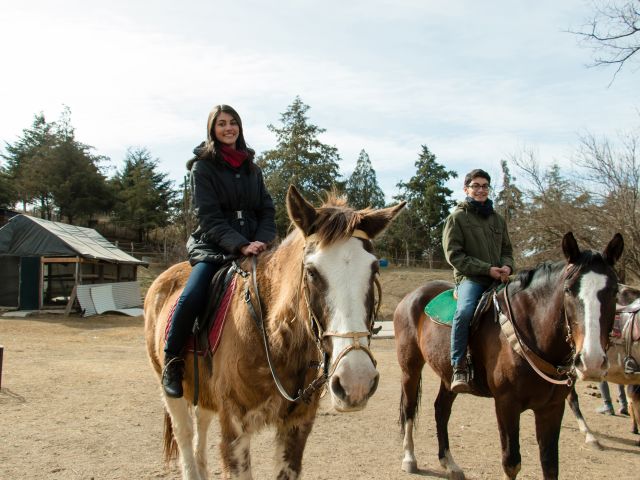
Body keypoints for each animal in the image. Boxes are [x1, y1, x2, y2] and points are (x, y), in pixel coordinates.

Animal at [145, 187, 404, 480]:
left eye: (374, 269)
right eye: (312, 272)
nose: (355, 381)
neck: (273, 340)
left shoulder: (297, 426)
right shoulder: (234, 430)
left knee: (201, 424)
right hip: (169, 388)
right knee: (185, 434)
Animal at [396, 232, 624, 480]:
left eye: (614, 291)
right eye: (568, 290)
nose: (592, 361)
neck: (530, 330)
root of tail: (413, 296)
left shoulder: (552, 408)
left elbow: (550, 464)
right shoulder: (507, 405)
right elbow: (511, 463)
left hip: (448, 376)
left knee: (441, 410)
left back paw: (449, 463)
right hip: (410, 368)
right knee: (409, 408)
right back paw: (409, 458)